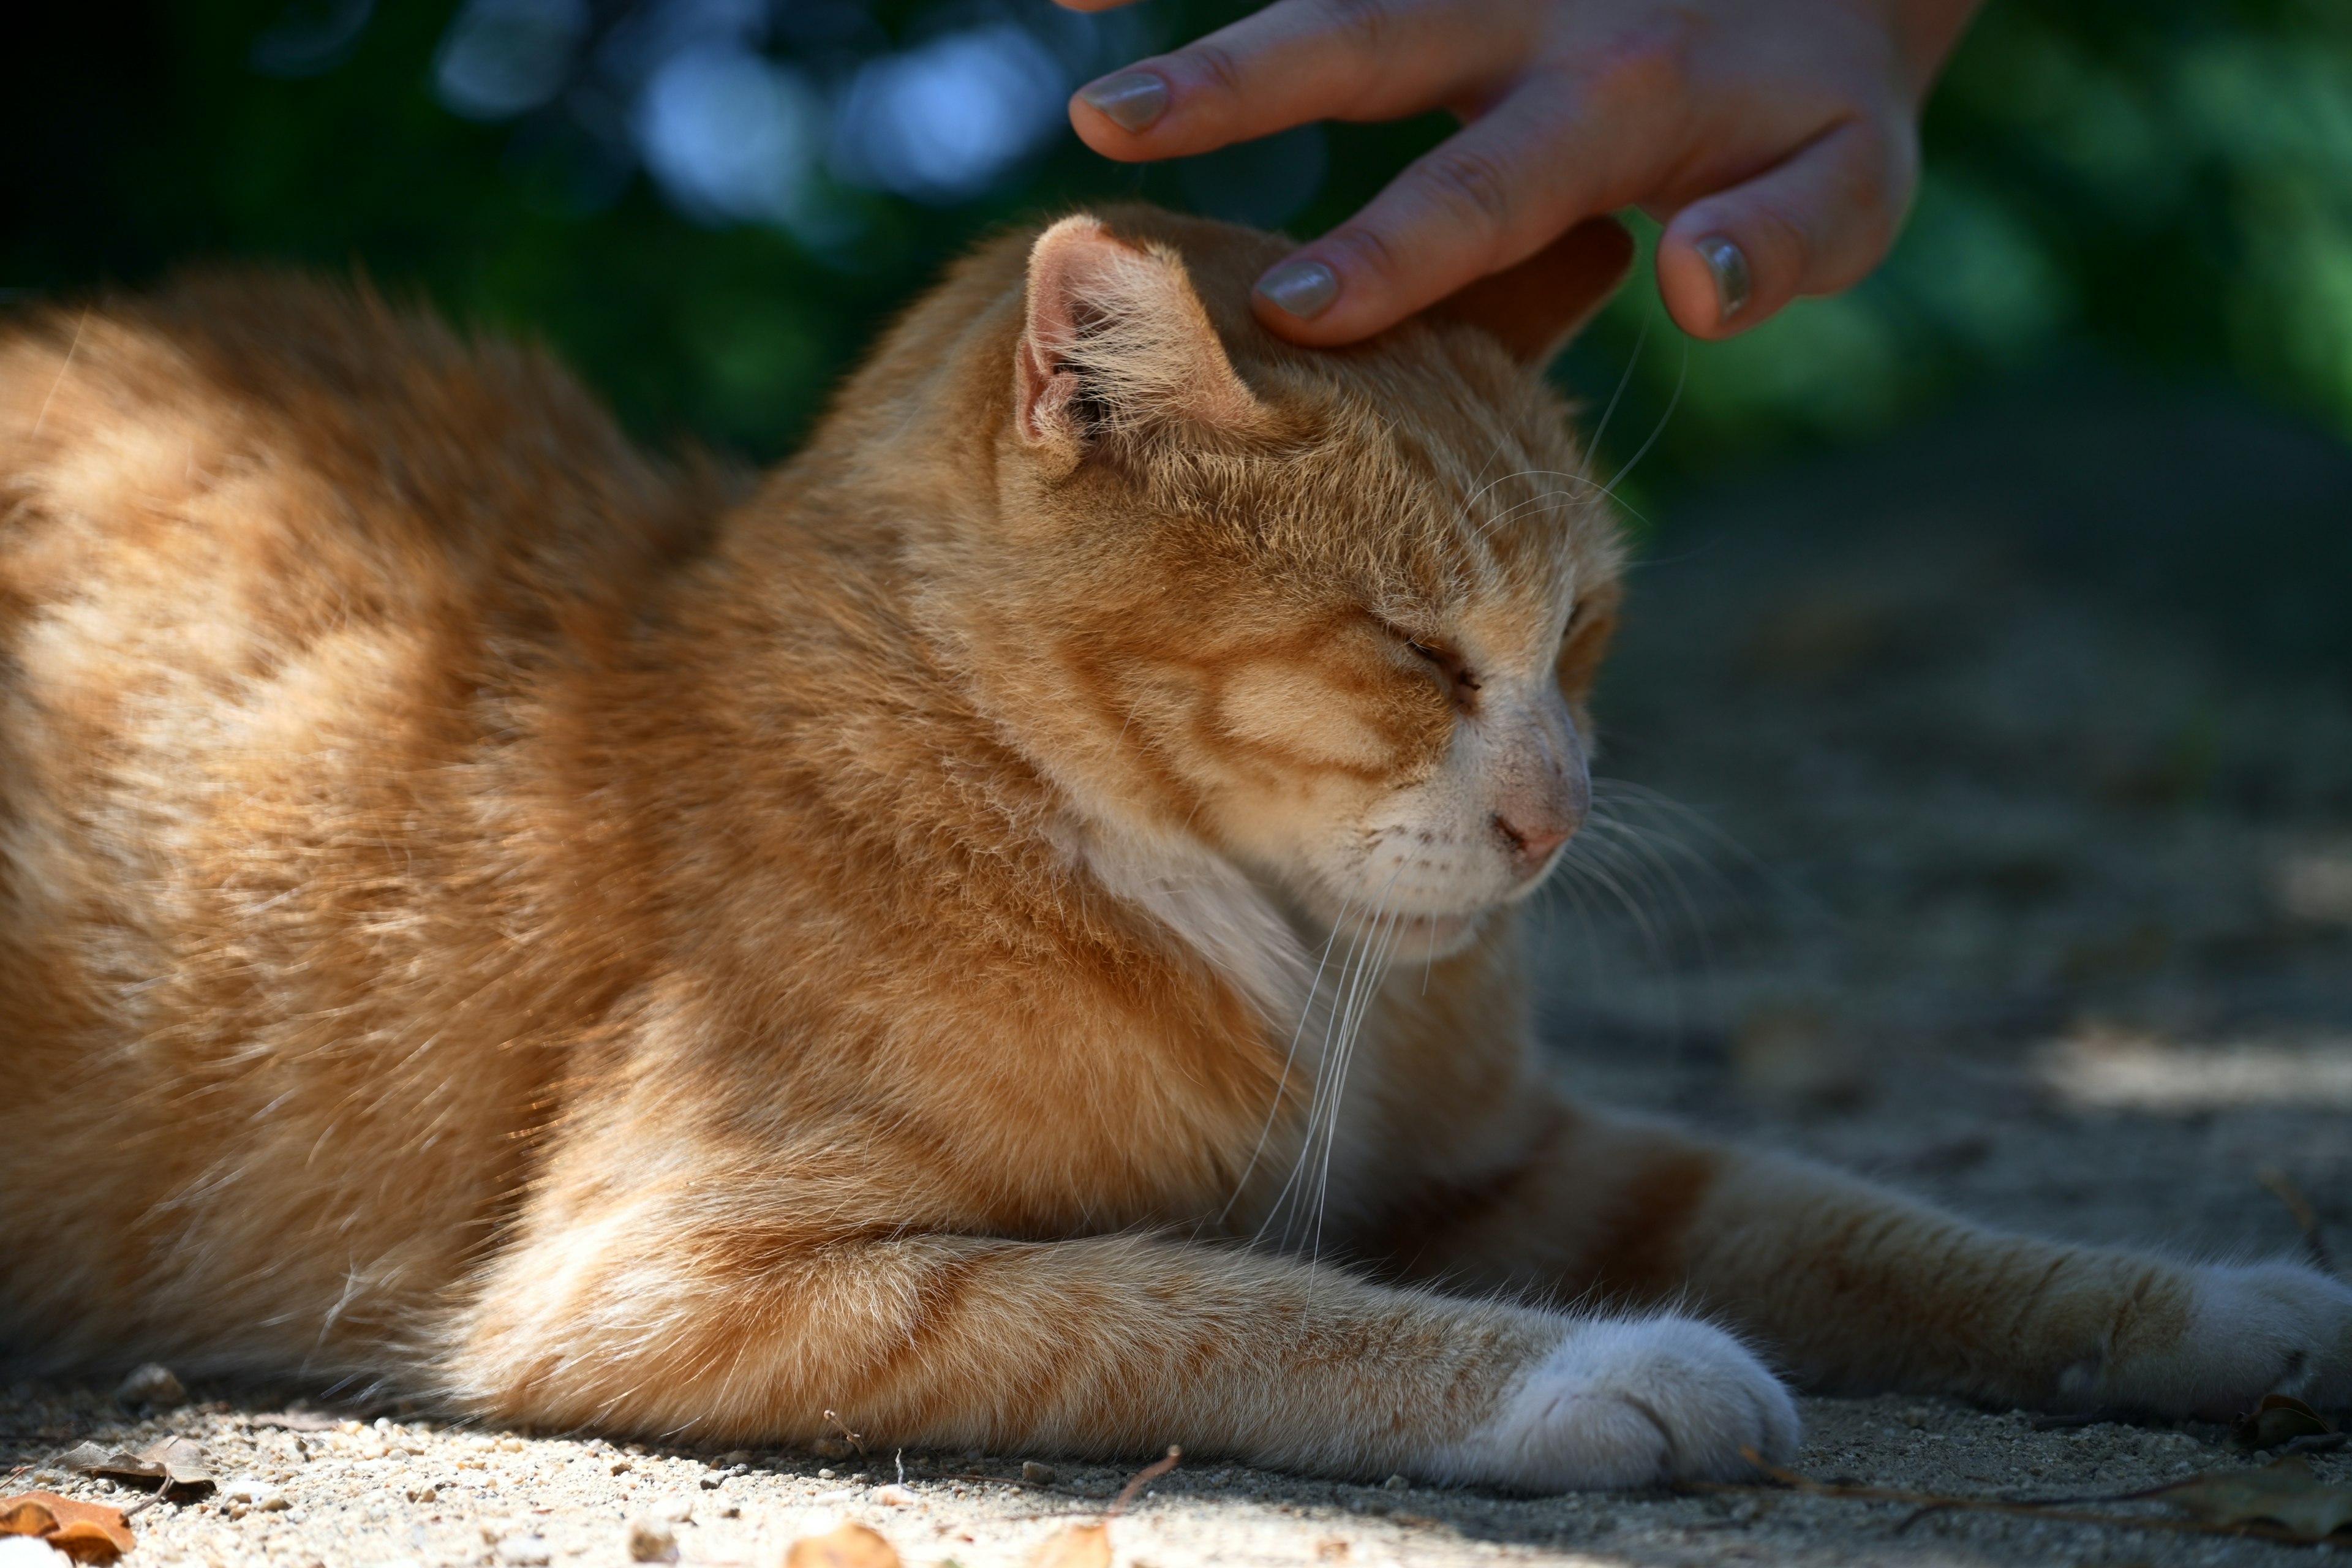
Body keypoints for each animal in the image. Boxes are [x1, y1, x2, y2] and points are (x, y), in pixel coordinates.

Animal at [4, 205, 2352, 1485]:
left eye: (1584, 631)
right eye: (1414, 649)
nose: (1556, 817)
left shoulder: (1531, 1164)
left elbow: (1880, 1232)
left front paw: (2232, 1305)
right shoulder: (673, 1278)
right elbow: (1218, 1304)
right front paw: (1594, 1368)